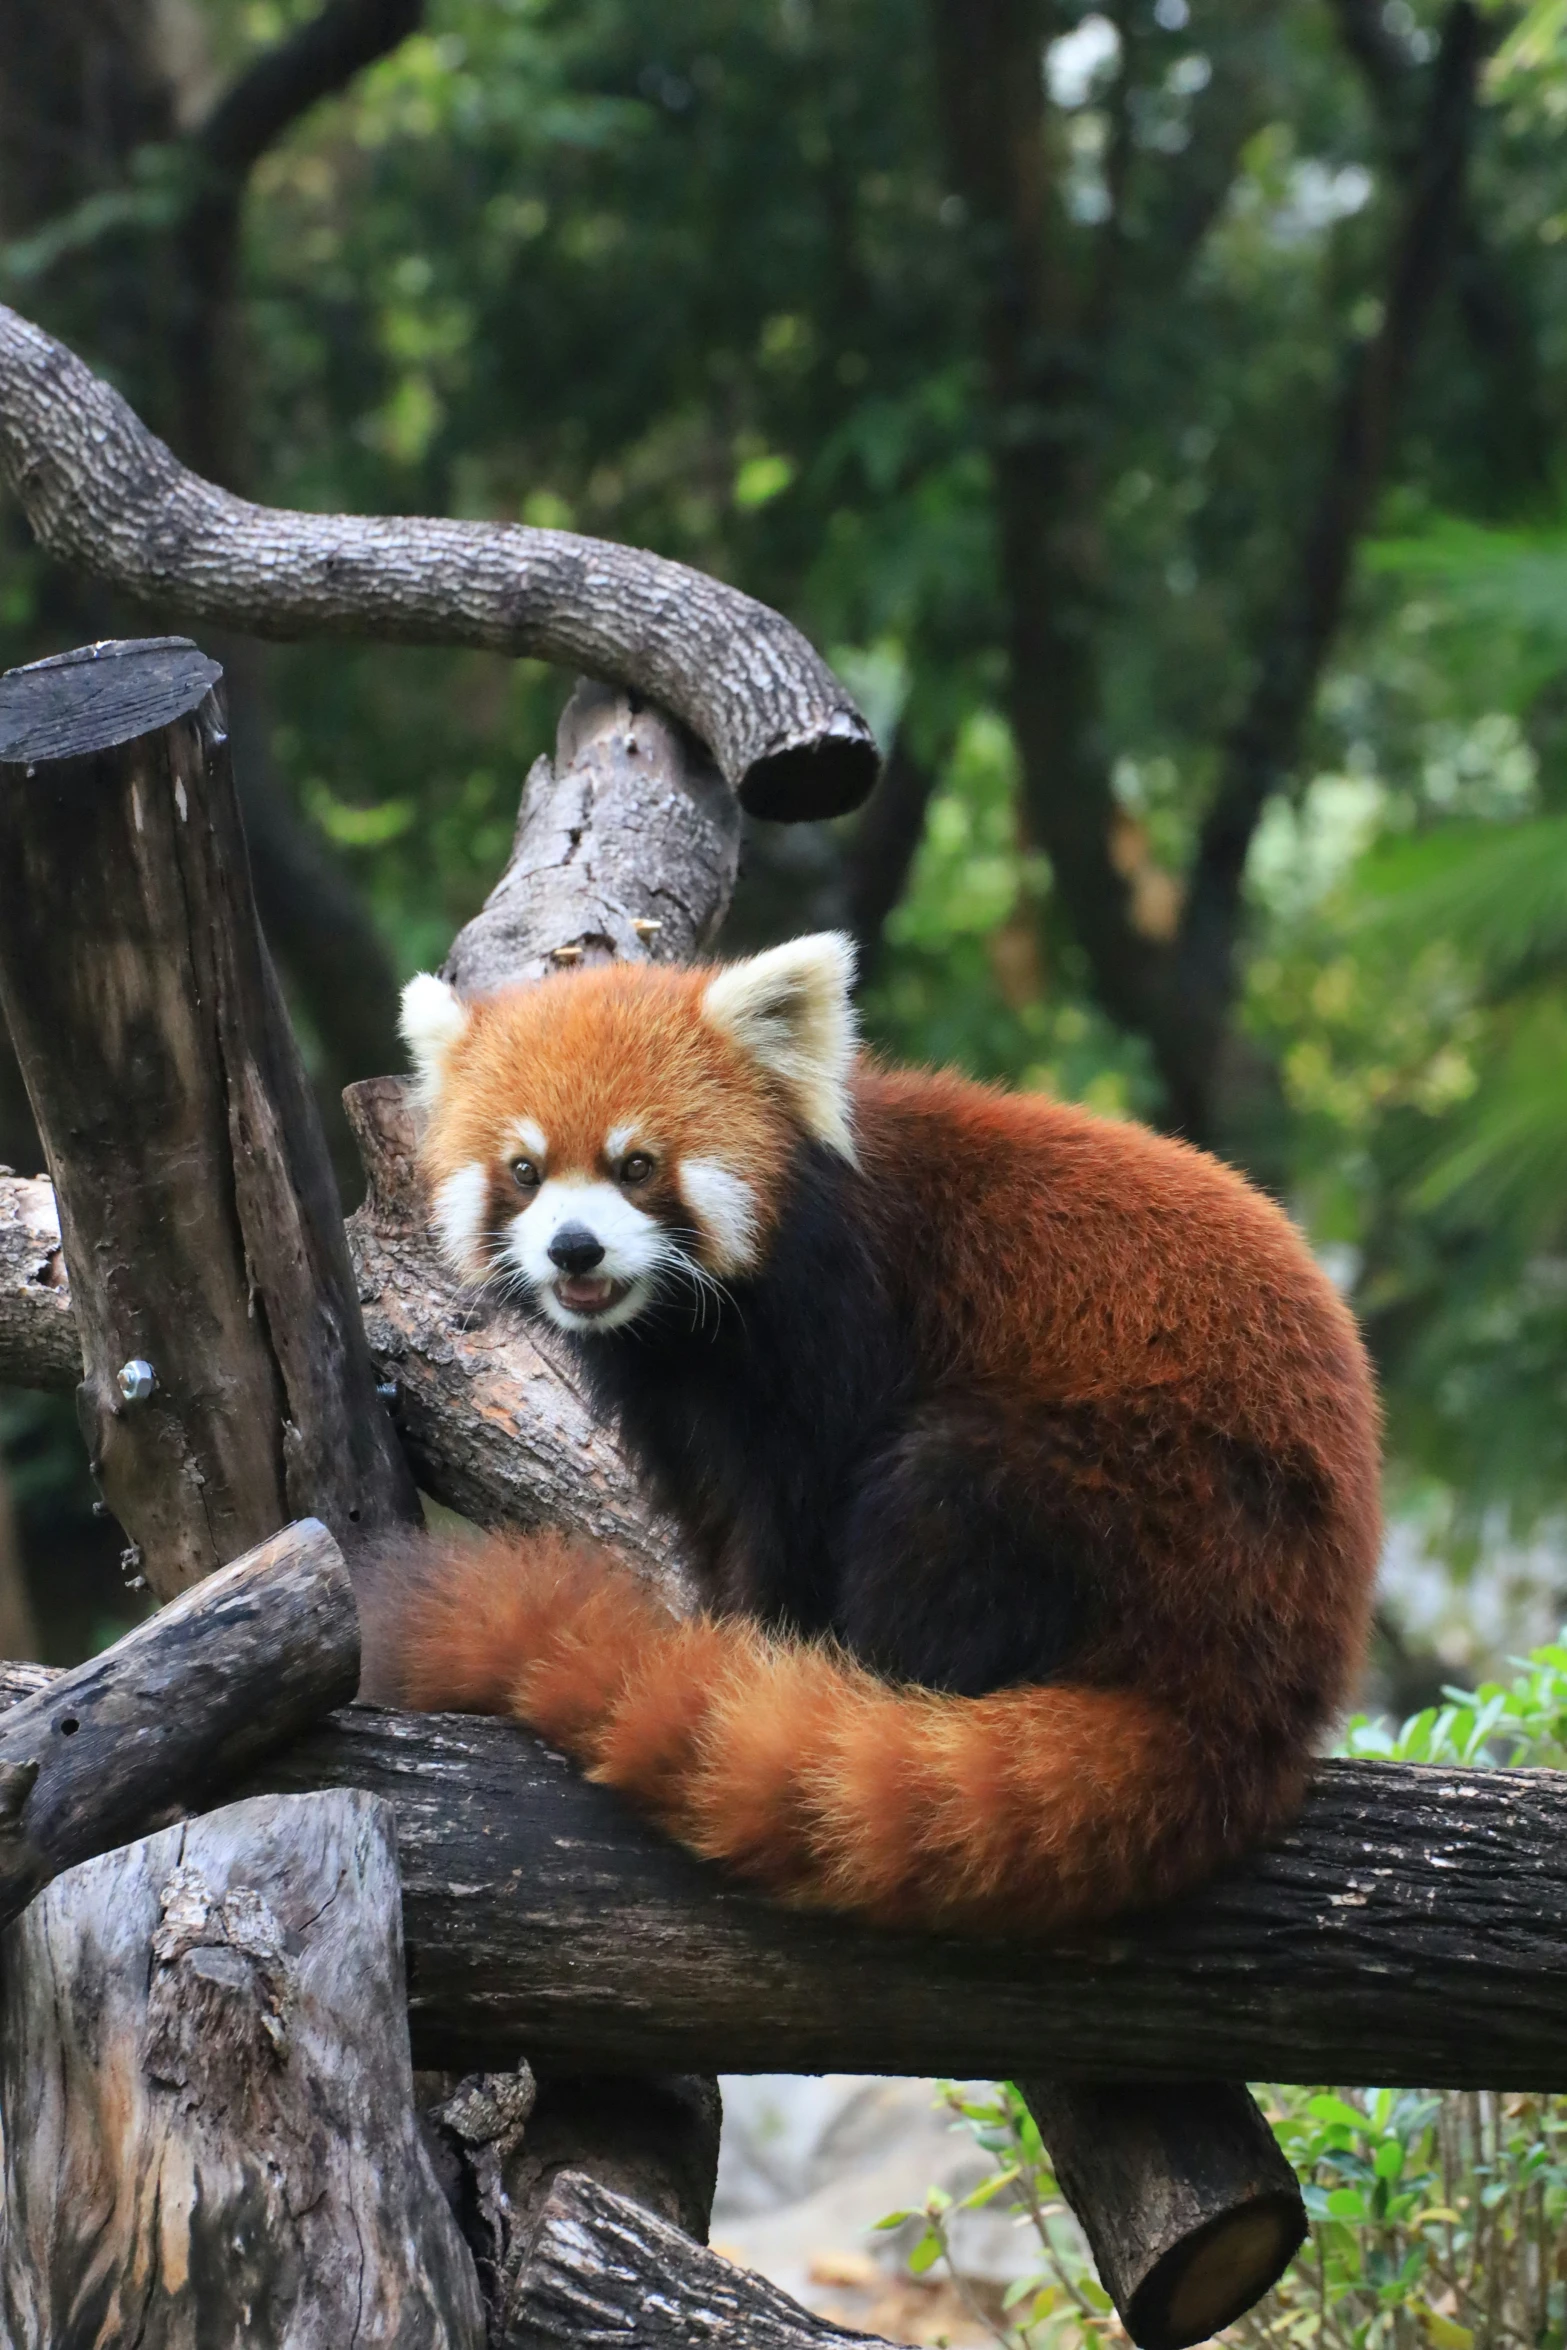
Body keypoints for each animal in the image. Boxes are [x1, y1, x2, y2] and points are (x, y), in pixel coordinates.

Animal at [359, 925, 1381, 1936]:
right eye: (524, 1172)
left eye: (636, 1166)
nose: (574, 1249)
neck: (690, 1327)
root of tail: (1250, 1701)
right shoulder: (678, 1410)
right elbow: (715, 1520)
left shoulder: (834, 1332)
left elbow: (793, 1520)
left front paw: (753, 1657)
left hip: (1146, 1491)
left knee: (938, 1493)